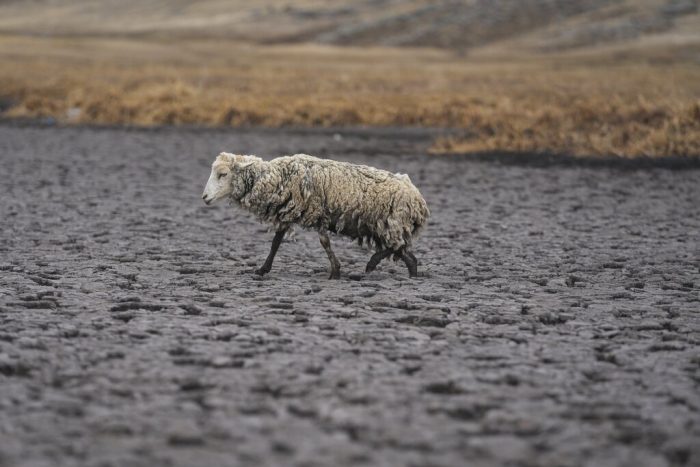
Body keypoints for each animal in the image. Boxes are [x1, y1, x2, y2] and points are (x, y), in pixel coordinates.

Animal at [202, 152, 429, 278]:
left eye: (223, 174)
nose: (204, 197)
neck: (277, 177)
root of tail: (418, 199)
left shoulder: (317, 212)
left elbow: (324, 243)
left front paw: (335, 271)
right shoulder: (288, 212)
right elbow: (276, 243)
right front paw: (262, 269)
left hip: (391, 223)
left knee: (397, 247)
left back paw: (371, 263)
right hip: (388, 226)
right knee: (407, 254)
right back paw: (410, 274)